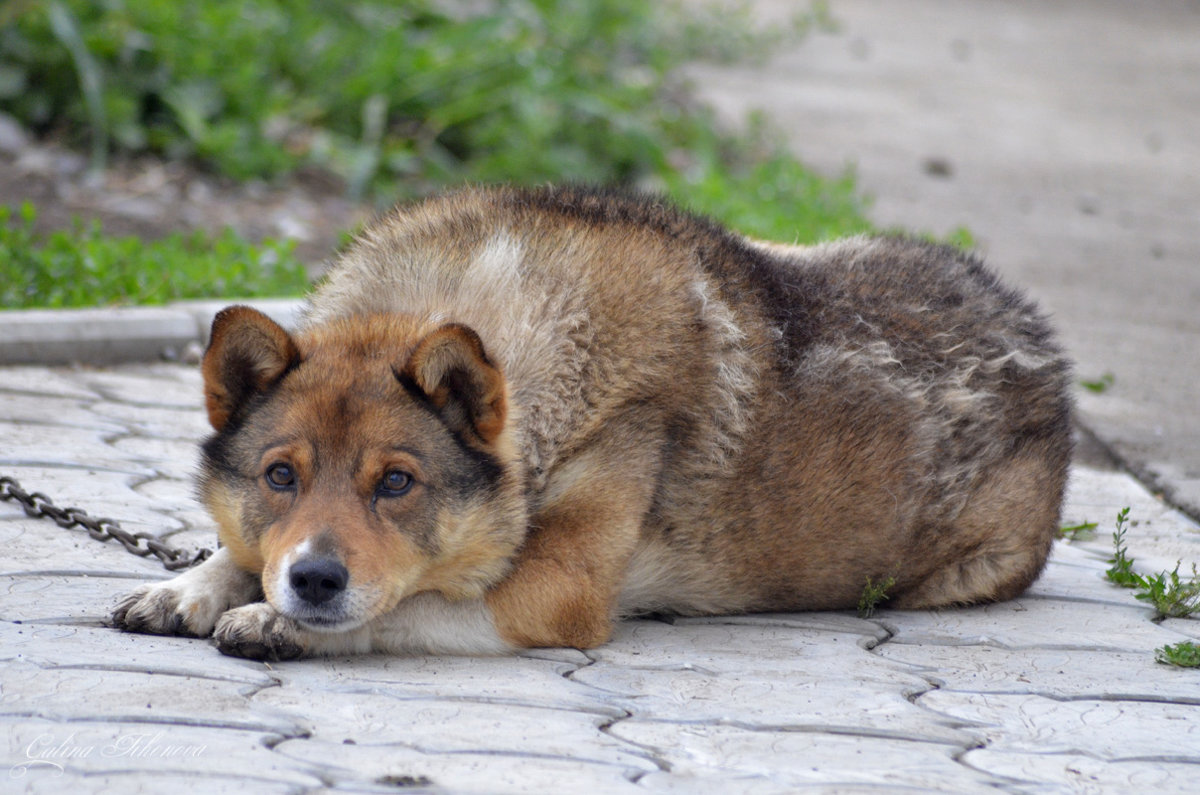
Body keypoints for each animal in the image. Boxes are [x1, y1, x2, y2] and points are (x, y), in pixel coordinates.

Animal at [110, 184, 1070, 658]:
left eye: (397, 483)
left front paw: (274, 621)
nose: (314, 580)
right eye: (281, 475)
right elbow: (238, 551)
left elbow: (409, 601)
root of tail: (1043, 344)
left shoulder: (557, 591)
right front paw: (188, 588)